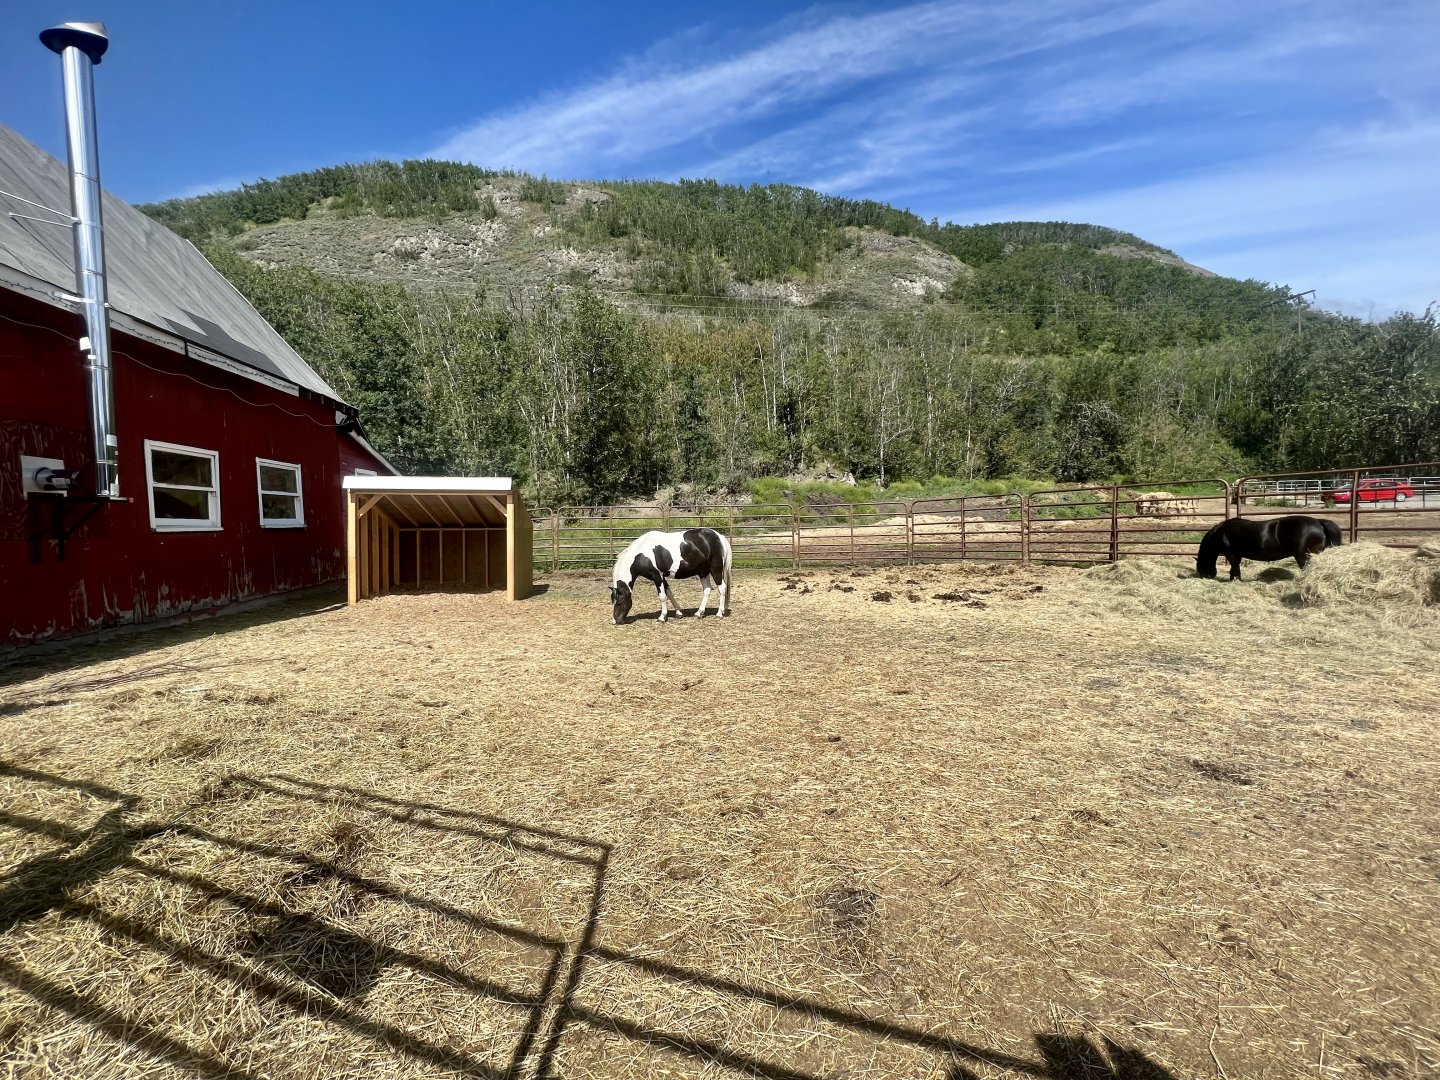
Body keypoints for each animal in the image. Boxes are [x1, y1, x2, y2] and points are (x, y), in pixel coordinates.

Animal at [1196, 515, 1343, 580]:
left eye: (1200, 566)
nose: (1205, 576)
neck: (1220, 533)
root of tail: (1318, 522)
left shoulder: (1231, 554)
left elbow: (1235, 568)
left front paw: (1235, 580)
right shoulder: (1237, 555)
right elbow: (1235, 568)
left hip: (1303, 555)